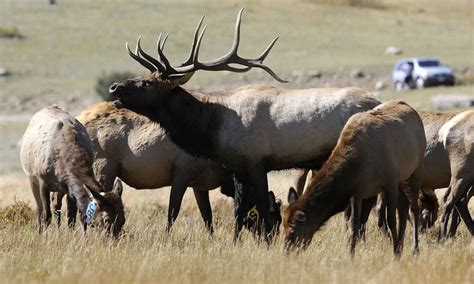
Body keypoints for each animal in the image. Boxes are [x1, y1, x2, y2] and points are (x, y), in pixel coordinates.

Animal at [19, 105, 125, 236]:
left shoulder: (69, 187)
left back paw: (58, 230)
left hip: (60, 188)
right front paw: (44, 235)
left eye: (123, 219)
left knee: (56, 205)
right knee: (40, 208)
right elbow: (46, 215)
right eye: (106, 220)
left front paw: (79, 236)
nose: (116, 238)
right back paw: (40, 230)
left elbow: (74, 217)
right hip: (32, 178)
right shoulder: (43, 181)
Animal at [108, 8, 382, 240]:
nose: (114, 87)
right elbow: (239, 211)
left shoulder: (257, 162)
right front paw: (236, 242)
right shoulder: (237, 168)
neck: (212, 128)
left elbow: (261, 206)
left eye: (148, 83)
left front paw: (267, 241)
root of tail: (379, 101)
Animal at [282, 101, 426, 256]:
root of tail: (411, 109)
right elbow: (353, 223)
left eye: (292, 231)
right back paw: (402, 245)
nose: (286, 252)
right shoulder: (358, 191)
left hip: (415, 171)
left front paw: (395, 254)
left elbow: (391, 220)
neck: (358, 165)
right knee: (403, 207)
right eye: (282, 227)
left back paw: (414, 249)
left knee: (414, 209)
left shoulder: (390, 181)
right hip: (402, 178)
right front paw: (350, 254)